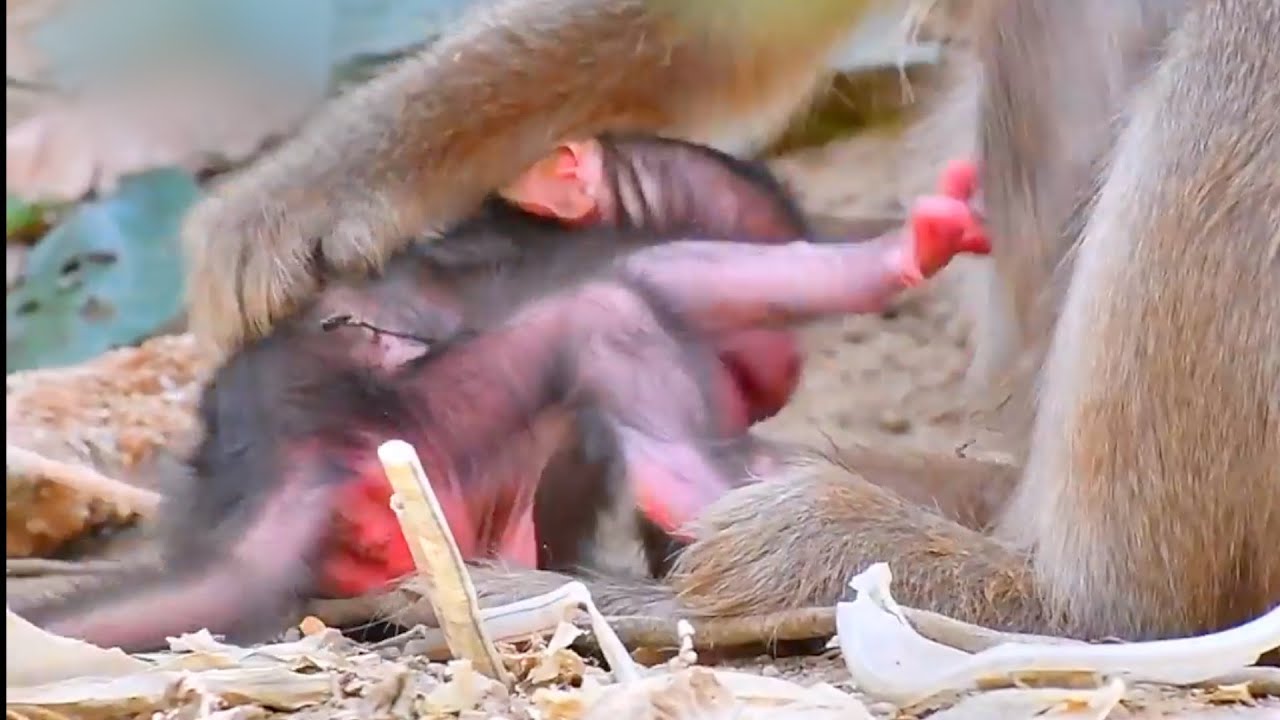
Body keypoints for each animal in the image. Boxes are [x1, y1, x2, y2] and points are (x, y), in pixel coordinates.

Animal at [14, 135, 990, 652]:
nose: (783, 368)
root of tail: (294, 476)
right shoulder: (598, 259)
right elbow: (684, 277)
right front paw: (910, 246)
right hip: (430, 424)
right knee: (606, 314)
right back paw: (716, 495)